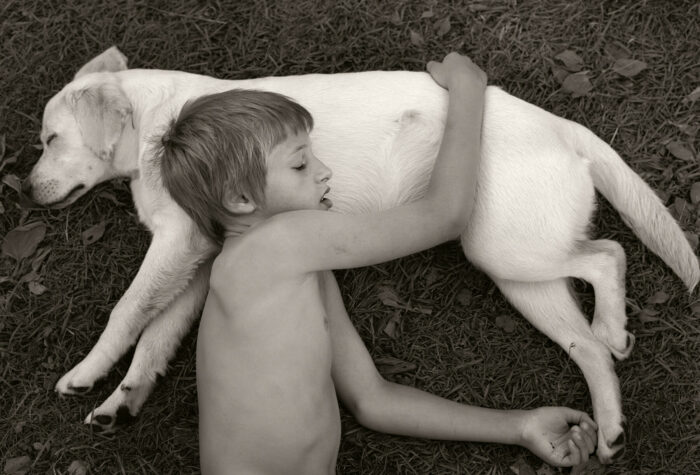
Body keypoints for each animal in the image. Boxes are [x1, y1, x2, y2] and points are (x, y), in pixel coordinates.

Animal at [24, 46, 696, 462]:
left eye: (51, 140)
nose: (26, 192)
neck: (157, 124)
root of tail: (560, 124)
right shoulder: (198, 264)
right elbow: (157, 336)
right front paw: (123, 399)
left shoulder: (175, 244)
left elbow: (127, 313)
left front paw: (86, 373)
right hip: (520, 273)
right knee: (588, 345)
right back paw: (609, 421)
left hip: (504, 250)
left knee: (608, 255)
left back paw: (613, 324)